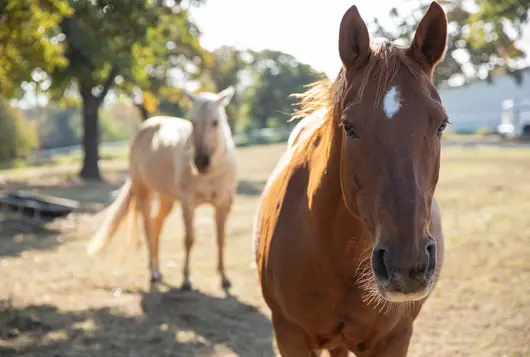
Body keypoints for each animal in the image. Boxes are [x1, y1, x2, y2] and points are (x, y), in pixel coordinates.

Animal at [86, 85, 237, 290]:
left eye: (215, 122)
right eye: (192, 122)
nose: (201, 163)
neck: (211, 174)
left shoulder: (224, 203)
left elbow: (221, 239)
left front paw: (224, 278)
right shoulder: (188, 204)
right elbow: (189, 239)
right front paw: (186, 280)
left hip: (167, 198)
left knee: (156, 224)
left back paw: (158, 270)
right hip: (144, 191)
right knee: (148, 227)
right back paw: (153, 273)